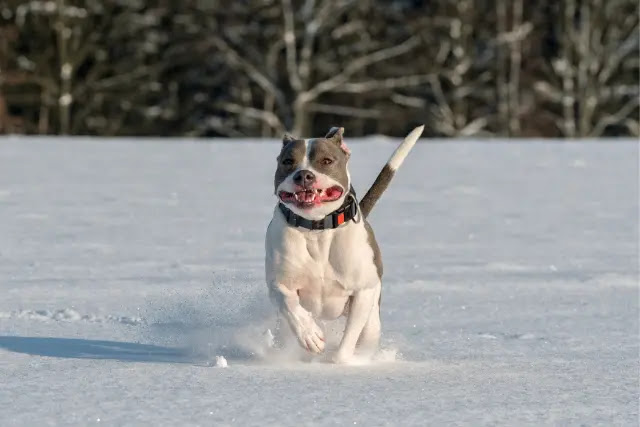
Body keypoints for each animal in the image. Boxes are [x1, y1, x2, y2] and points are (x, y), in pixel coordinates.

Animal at [264, 124, 424, 364]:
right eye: (288, 161)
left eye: (327, 160)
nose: (304, 175)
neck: (317, 228)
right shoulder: (279, 282)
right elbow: (289, 304)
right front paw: (310, 335)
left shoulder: (363, 291)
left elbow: (349, 338)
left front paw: (338, 361)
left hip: (373, 319)